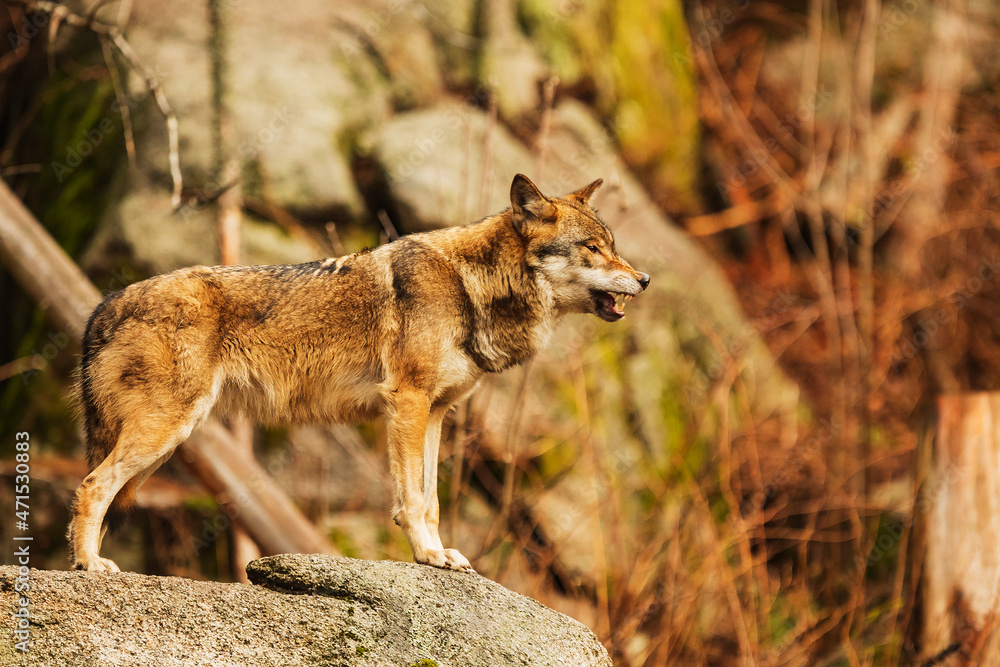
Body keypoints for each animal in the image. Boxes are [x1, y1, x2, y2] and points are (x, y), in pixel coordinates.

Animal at [68, 174, 648, 576]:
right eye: (593, 248)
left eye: (612, 245)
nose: (644, 278)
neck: (470, 287)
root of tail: (105, 303)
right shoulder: (406, 401)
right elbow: (412, 499)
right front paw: (428, 557)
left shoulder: (435, 412)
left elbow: (431, 499)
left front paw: (439, 554)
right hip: (166, 431)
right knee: (92, 485)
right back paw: (88, 566)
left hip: (166, 441)